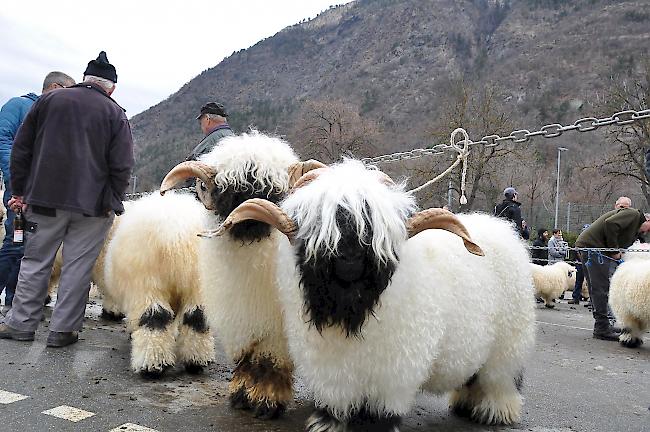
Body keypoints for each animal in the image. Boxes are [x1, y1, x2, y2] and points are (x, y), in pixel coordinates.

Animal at [101, 191, 213, 376]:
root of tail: (177, 231)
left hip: (147, 283)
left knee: (154, 318)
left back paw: (152, 365)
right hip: (197, 283)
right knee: (197, 317)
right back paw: (195, 361)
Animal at [159, 132, 322, 418]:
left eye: (273, 192)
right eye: (228, 191)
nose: (246, 216)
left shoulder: (277, 326)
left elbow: (269, 360)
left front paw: (267, 401)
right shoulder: (240, 317)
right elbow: (246, 357)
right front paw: (241, 394)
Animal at [215, 159, 536, 432]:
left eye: (371, 227)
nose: (349, 258)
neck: (350, 308)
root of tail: (502, 230)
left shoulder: (393, 373)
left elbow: (380, 411)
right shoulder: (330, 369)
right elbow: (335, 403)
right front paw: (328, 423)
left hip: (507, 345)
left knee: (500, 379)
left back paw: (494, 412)